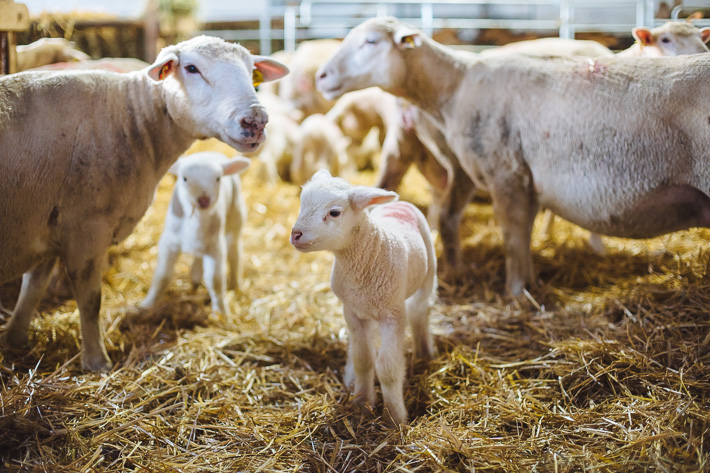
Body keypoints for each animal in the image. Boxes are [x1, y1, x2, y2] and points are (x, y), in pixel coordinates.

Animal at [140, 151, 252, 314]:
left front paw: (222, 312)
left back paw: (235, 284)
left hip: (235, 215)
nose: (203, 200)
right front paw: (147, 304)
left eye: (218, 178)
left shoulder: (215, 247)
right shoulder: (169, 242)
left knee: (234, 251)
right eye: (184, 178)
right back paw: (196, 276)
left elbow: (215, 280)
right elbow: (162, 275)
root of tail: (209, 152)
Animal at [290, 170, 440, 424]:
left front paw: (394, 417)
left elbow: (387, 367)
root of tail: (399, 203)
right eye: (302, 204)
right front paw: (362, 402)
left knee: (420, 311)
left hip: (427, 274)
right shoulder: (353, 311)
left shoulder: (392, 314)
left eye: (334, 212)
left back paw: (425, 353)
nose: (296, 234)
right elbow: (363, 359)